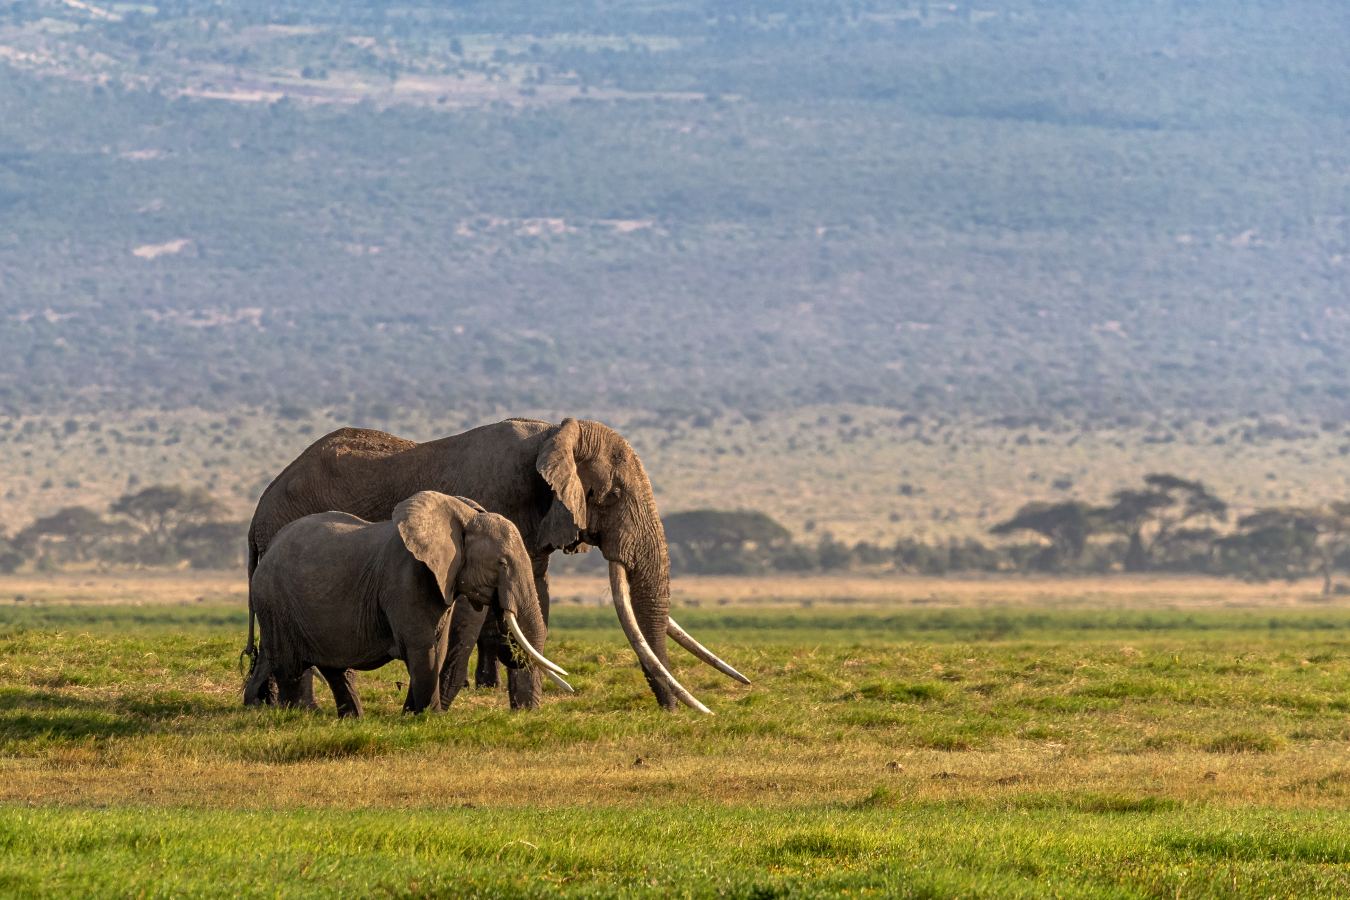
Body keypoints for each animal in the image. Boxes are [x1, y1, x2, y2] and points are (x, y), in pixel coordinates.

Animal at [242, 491, 568, 717]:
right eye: (501, 563)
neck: (462, 516)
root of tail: (266, 548)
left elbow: (438, 647)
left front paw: (411, 715)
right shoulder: (407, 577)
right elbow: (422, 647)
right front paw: (430, 718)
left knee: (331, 666)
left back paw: (351, 718)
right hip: (274, 602)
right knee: (288, 664)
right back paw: (292, 714)